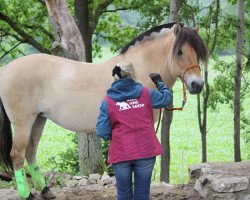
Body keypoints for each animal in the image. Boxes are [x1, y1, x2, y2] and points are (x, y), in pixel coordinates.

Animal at [0, 23, 207, 198]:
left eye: (197, 52)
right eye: (179, 52)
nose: (197, 85)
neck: (135, 71)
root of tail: (7, 69)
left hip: (39, 119)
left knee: (30, 152)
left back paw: (45, 190)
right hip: (23, 122)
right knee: (17, 154)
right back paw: (27, 195)